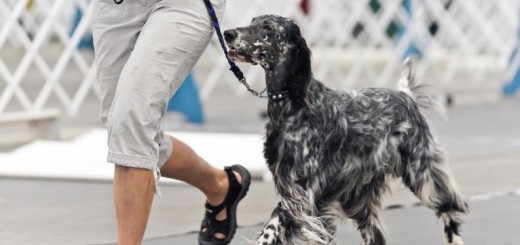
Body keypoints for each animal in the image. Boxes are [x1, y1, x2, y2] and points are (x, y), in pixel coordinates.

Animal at [222, 14, 468, 244]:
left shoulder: (299, 193)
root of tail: (406, 96)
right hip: (358, 197)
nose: (227, 33)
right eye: (252, 21)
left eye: (268, 27)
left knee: (449, 208)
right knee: (375, 235)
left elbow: (271, 228)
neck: (293, 104)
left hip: (421, 174)